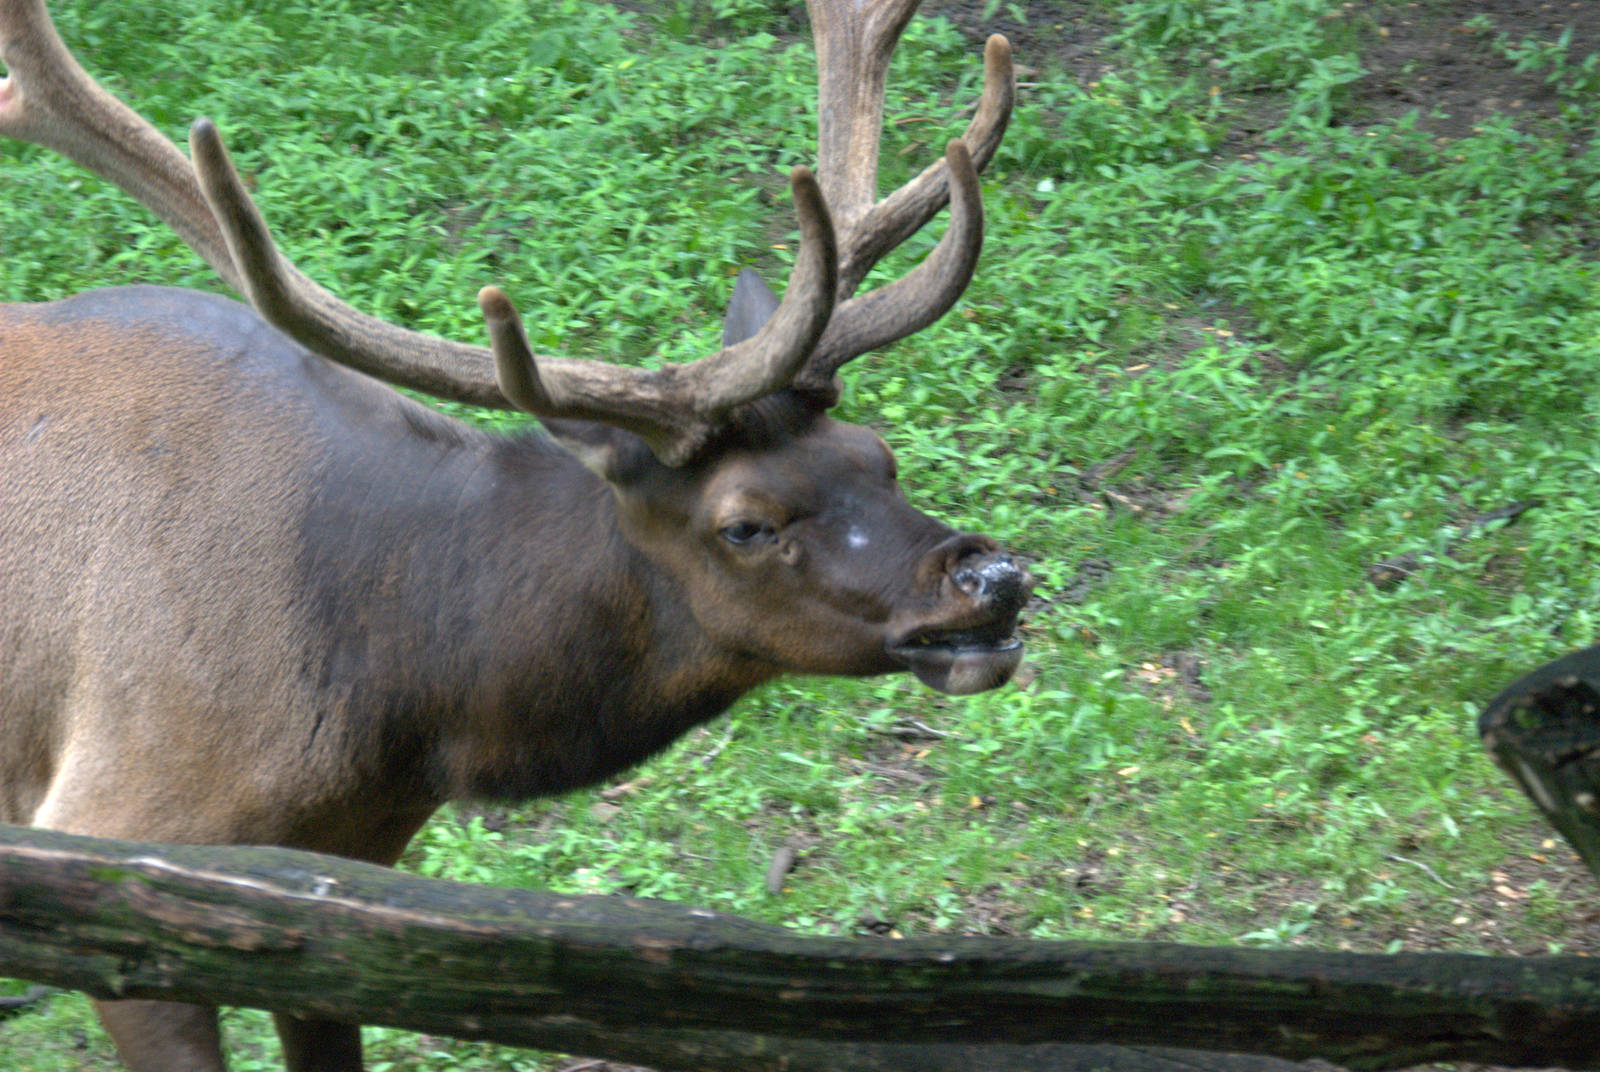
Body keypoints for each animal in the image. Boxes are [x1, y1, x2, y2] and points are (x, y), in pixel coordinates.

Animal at [0, 0, 1026, 1068]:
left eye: (879, 454)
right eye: (745, 522)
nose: (992, 578)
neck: (390, 703)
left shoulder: (332, 887)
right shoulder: (112, 826)